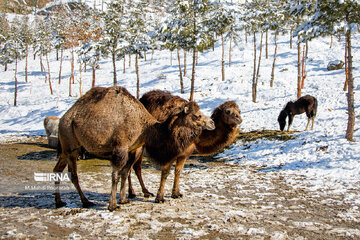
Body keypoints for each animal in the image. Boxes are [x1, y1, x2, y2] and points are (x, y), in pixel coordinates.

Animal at [53, 86, 214, 210]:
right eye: (197, 116)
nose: (212, 122)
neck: (145, 128)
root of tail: (63, 119)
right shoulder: (120, 148)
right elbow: (116, 175)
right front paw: (113, 205)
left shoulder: (131, 149)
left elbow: (125, 172)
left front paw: (124, 199)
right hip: (69, 141)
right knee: (73, 174)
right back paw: (86, 201)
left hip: (68, 146)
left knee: (57, 170)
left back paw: (59, 202)